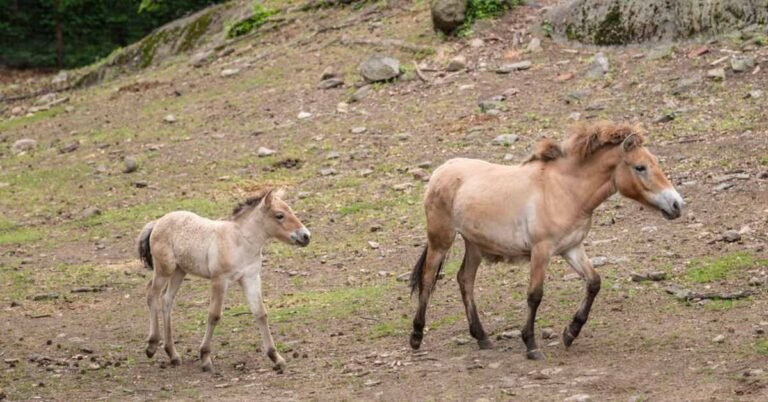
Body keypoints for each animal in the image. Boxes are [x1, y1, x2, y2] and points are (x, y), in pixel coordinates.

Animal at [137, 188, 311, 372]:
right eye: (279, 215)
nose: (306, 236)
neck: (240, 242)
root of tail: (157, 222)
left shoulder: (251, 278)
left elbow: (260, 313)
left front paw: (276, 358)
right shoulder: (219, 280)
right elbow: (214, 315)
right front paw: (205, 358)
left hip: (179, 271)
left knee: (166, 300)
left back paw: (173, 354)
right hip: (164, 270)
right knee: (152, 294)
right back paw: (152, 346)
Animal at [408, 120, 684, 360]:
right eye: (640, 167)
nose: (677, 204)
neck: (564, 190)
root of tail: (442, 170)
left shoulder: (572, 248)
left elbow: (594, 282)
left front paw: (570, 333)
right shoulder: (541, 251)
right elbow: (535, 295)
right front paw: (531, 345)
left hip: (474, 243)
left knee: (465, 279)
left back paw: (482, 337)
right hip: (441, 239)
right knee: (429, 278)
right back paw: (416, 336)